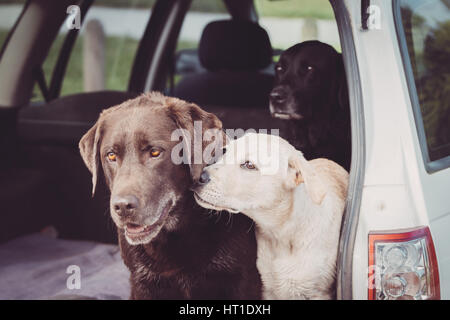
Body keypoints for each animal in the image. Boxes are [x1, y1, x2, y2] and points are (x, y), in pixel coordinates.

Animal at [192, 133, 348, 300]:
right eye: (225, 152)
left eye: (249, 165)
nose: (199, 177)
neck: (283, 235)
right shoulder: (268, 289)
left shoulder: (318, 292)